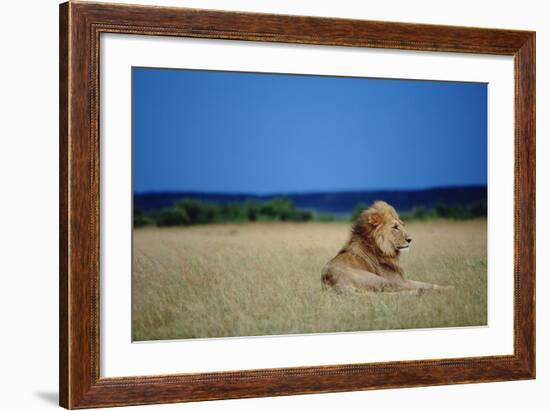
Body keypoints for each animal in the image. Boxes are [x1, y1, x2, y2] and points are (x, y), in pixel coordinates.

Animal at [322, 201, 450, 294]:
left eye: (402, 225)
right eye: (395, 227)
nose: (410, 239)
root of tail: (331, 280)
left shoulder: (402, 280)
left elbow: (425, 282)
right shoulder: (398, 281)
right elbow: (427, 284)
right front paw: (450, 287)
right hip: (381, 281)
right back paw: (420, 292)